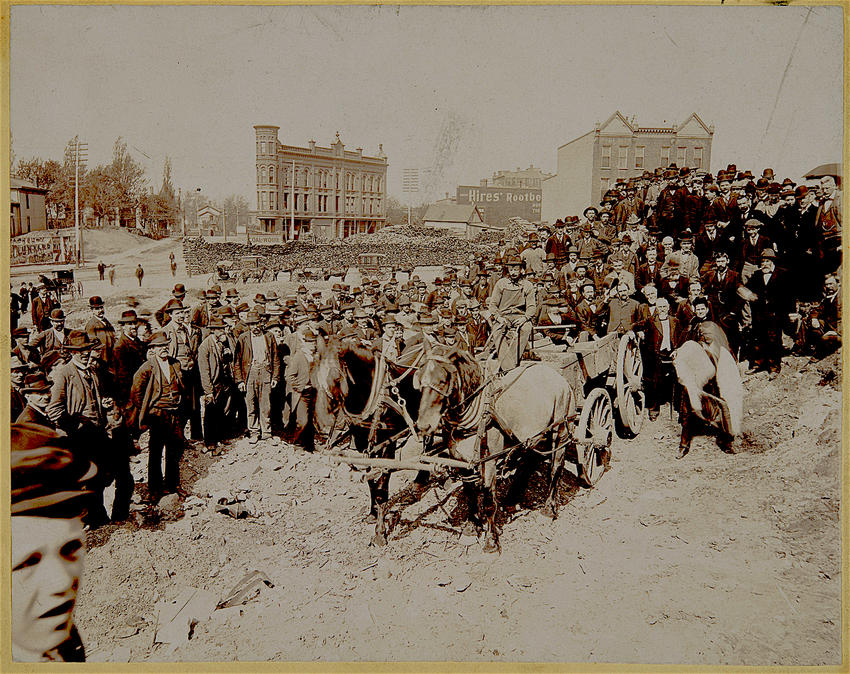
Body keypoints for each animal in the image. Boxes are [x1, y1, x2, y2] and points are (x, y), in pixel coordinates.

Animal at [312, 336, 424, 544]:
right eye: (314, 377)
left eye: (336, 377)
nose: (320, 423)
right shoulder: (363, 442)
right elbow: (371, 481)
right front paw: (372, 514)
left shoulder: (387, 443)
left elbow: (381, 485)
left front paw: (380, 532)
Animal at [412, 342, 576, 552]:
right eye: (419, 379)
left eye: (442, 381)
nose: (423, 426)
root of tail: (556, 375)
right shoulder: (461, 461)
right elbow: (470, 493)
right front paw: (471, 528)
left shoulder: (488, 462)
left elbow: (489, 499)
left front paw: (491, 540)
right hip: (533, 435)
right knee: (530, 460)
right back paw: (512, 499)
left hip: (561, 429)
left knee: (556, 468)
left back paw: (548, 509)